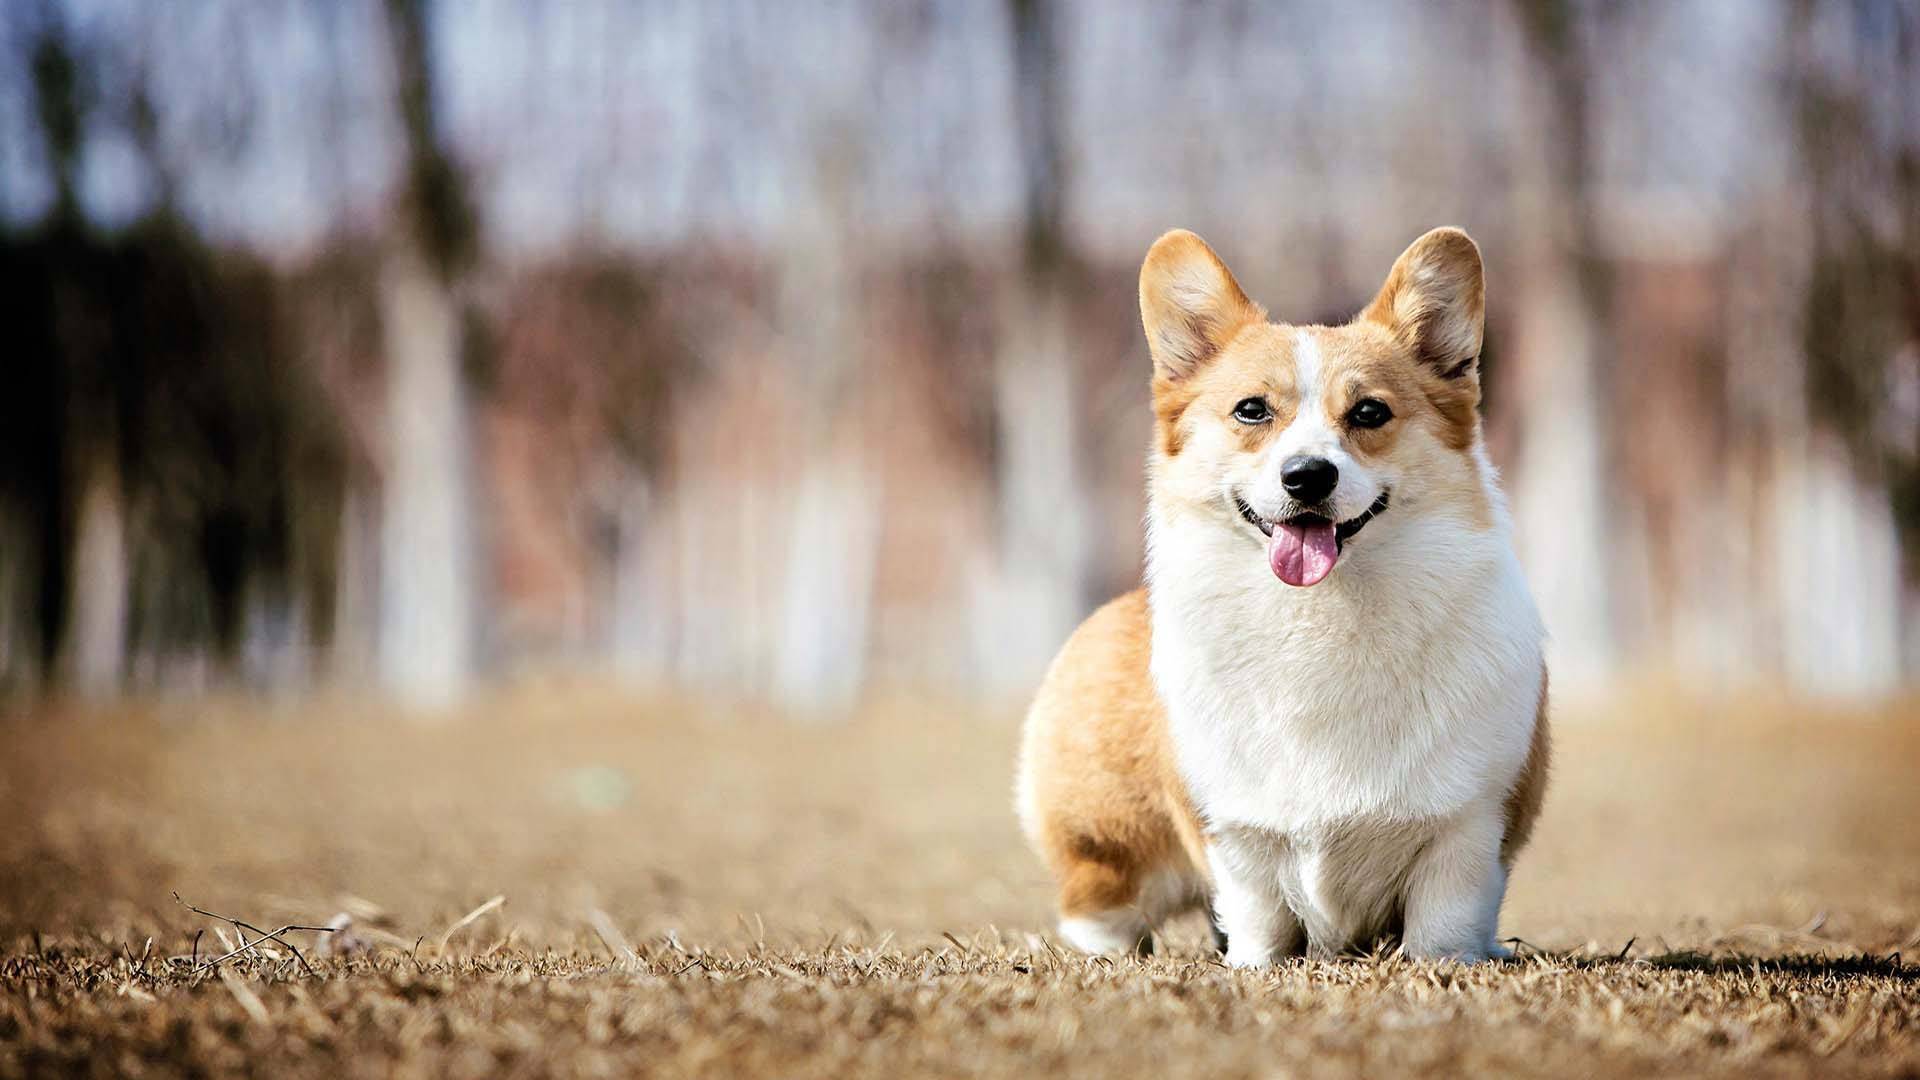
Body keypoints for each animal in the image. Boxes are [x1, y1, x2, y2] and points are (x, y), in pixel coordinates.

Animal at [1021, 224, 1543, 957]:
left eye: (1370, 411)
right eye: (1251, 410)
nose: (1306, 476)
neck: (1321, 614)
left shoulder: (1469, 826)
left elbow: (1446, 921)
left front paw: (1452, 961)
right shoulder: (1235, 832)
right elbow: (1259, 913)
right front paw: (1252, 965)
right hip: (1110, 852)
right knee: (1101, 910)